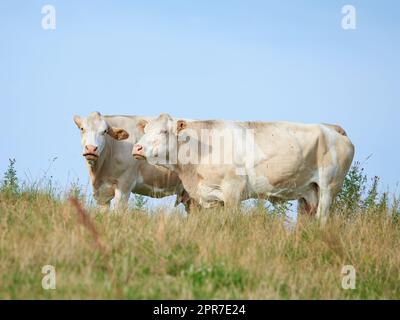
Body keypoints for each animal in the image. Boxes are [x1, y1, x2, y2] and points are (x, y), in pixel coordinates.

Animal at [133, 114, 354, 224]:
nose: (137, 148)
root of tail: (332, 128)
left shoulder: (233, 190)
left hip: (328, 187)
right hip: (308, 192)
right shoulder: (210, 197)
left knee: (322, 218)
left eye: (163, 131)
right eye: (145, 130)